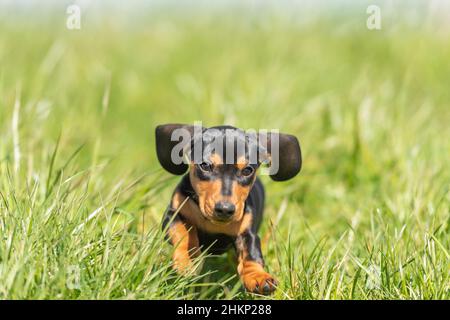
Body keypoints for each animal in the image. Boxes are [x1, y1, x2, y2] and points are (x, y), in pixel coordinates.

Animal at [156, 124, 302, 294]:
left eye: (247, 170)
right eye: (205, 165)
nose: (225, 209)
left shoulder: (247, 233)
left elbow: (251, 254)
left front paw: (258, 277)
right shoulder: (173, 214)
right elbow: (184, 232)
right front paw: (188, 259)